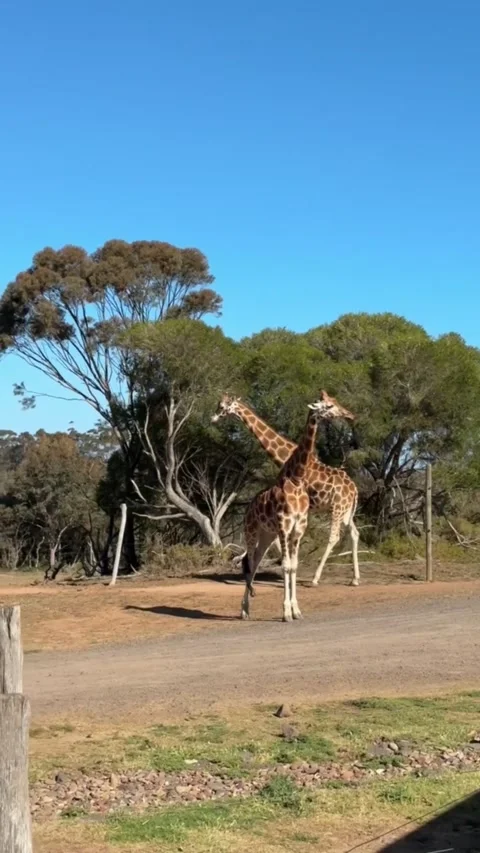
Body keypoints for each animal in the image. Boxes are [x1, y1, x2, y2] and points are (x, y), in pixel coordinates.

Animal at [211, 391, 360, 586]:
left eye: (221, 407)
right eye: (331, 403)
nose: (213, 418)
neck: (286, 456)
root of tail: (355, 490)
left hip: (337, 508)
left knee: (334, 537)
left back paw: (315, 578)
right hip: (346, 511)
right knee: (355, 533)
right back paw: (355, 579)